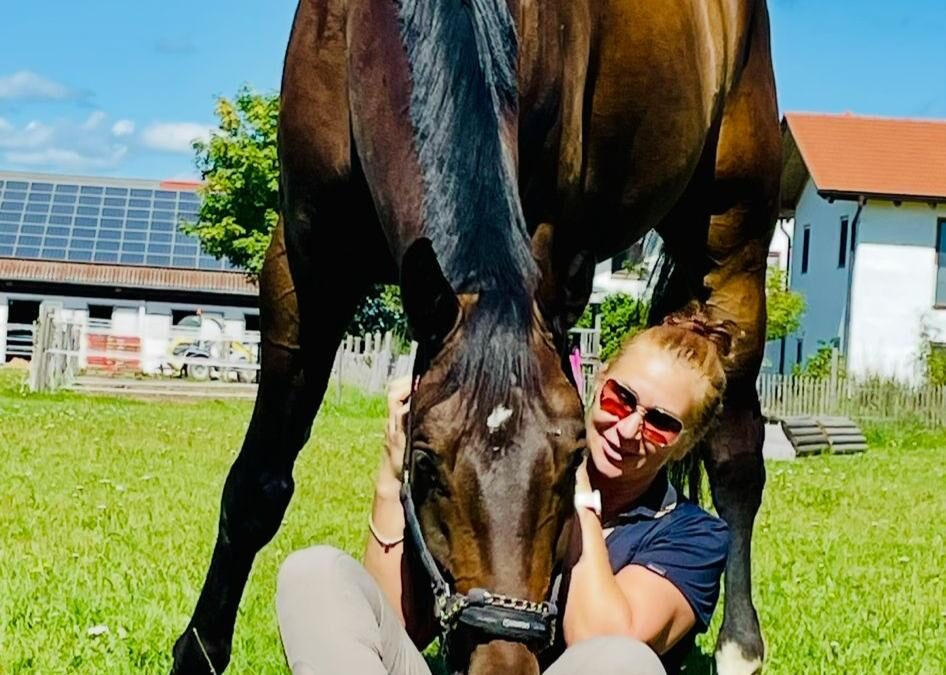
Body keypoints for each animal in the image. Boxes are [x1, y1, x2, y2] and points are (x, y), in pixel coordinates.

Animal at [171, 1, 780, 674]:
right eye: (423, 464)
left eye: (574, 465)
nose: (501, 659)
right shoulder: (305, 264)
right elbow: (258, 484)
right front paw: (198, 651)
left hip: (735, 251)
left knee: (737, 462)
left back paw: (739, 646)